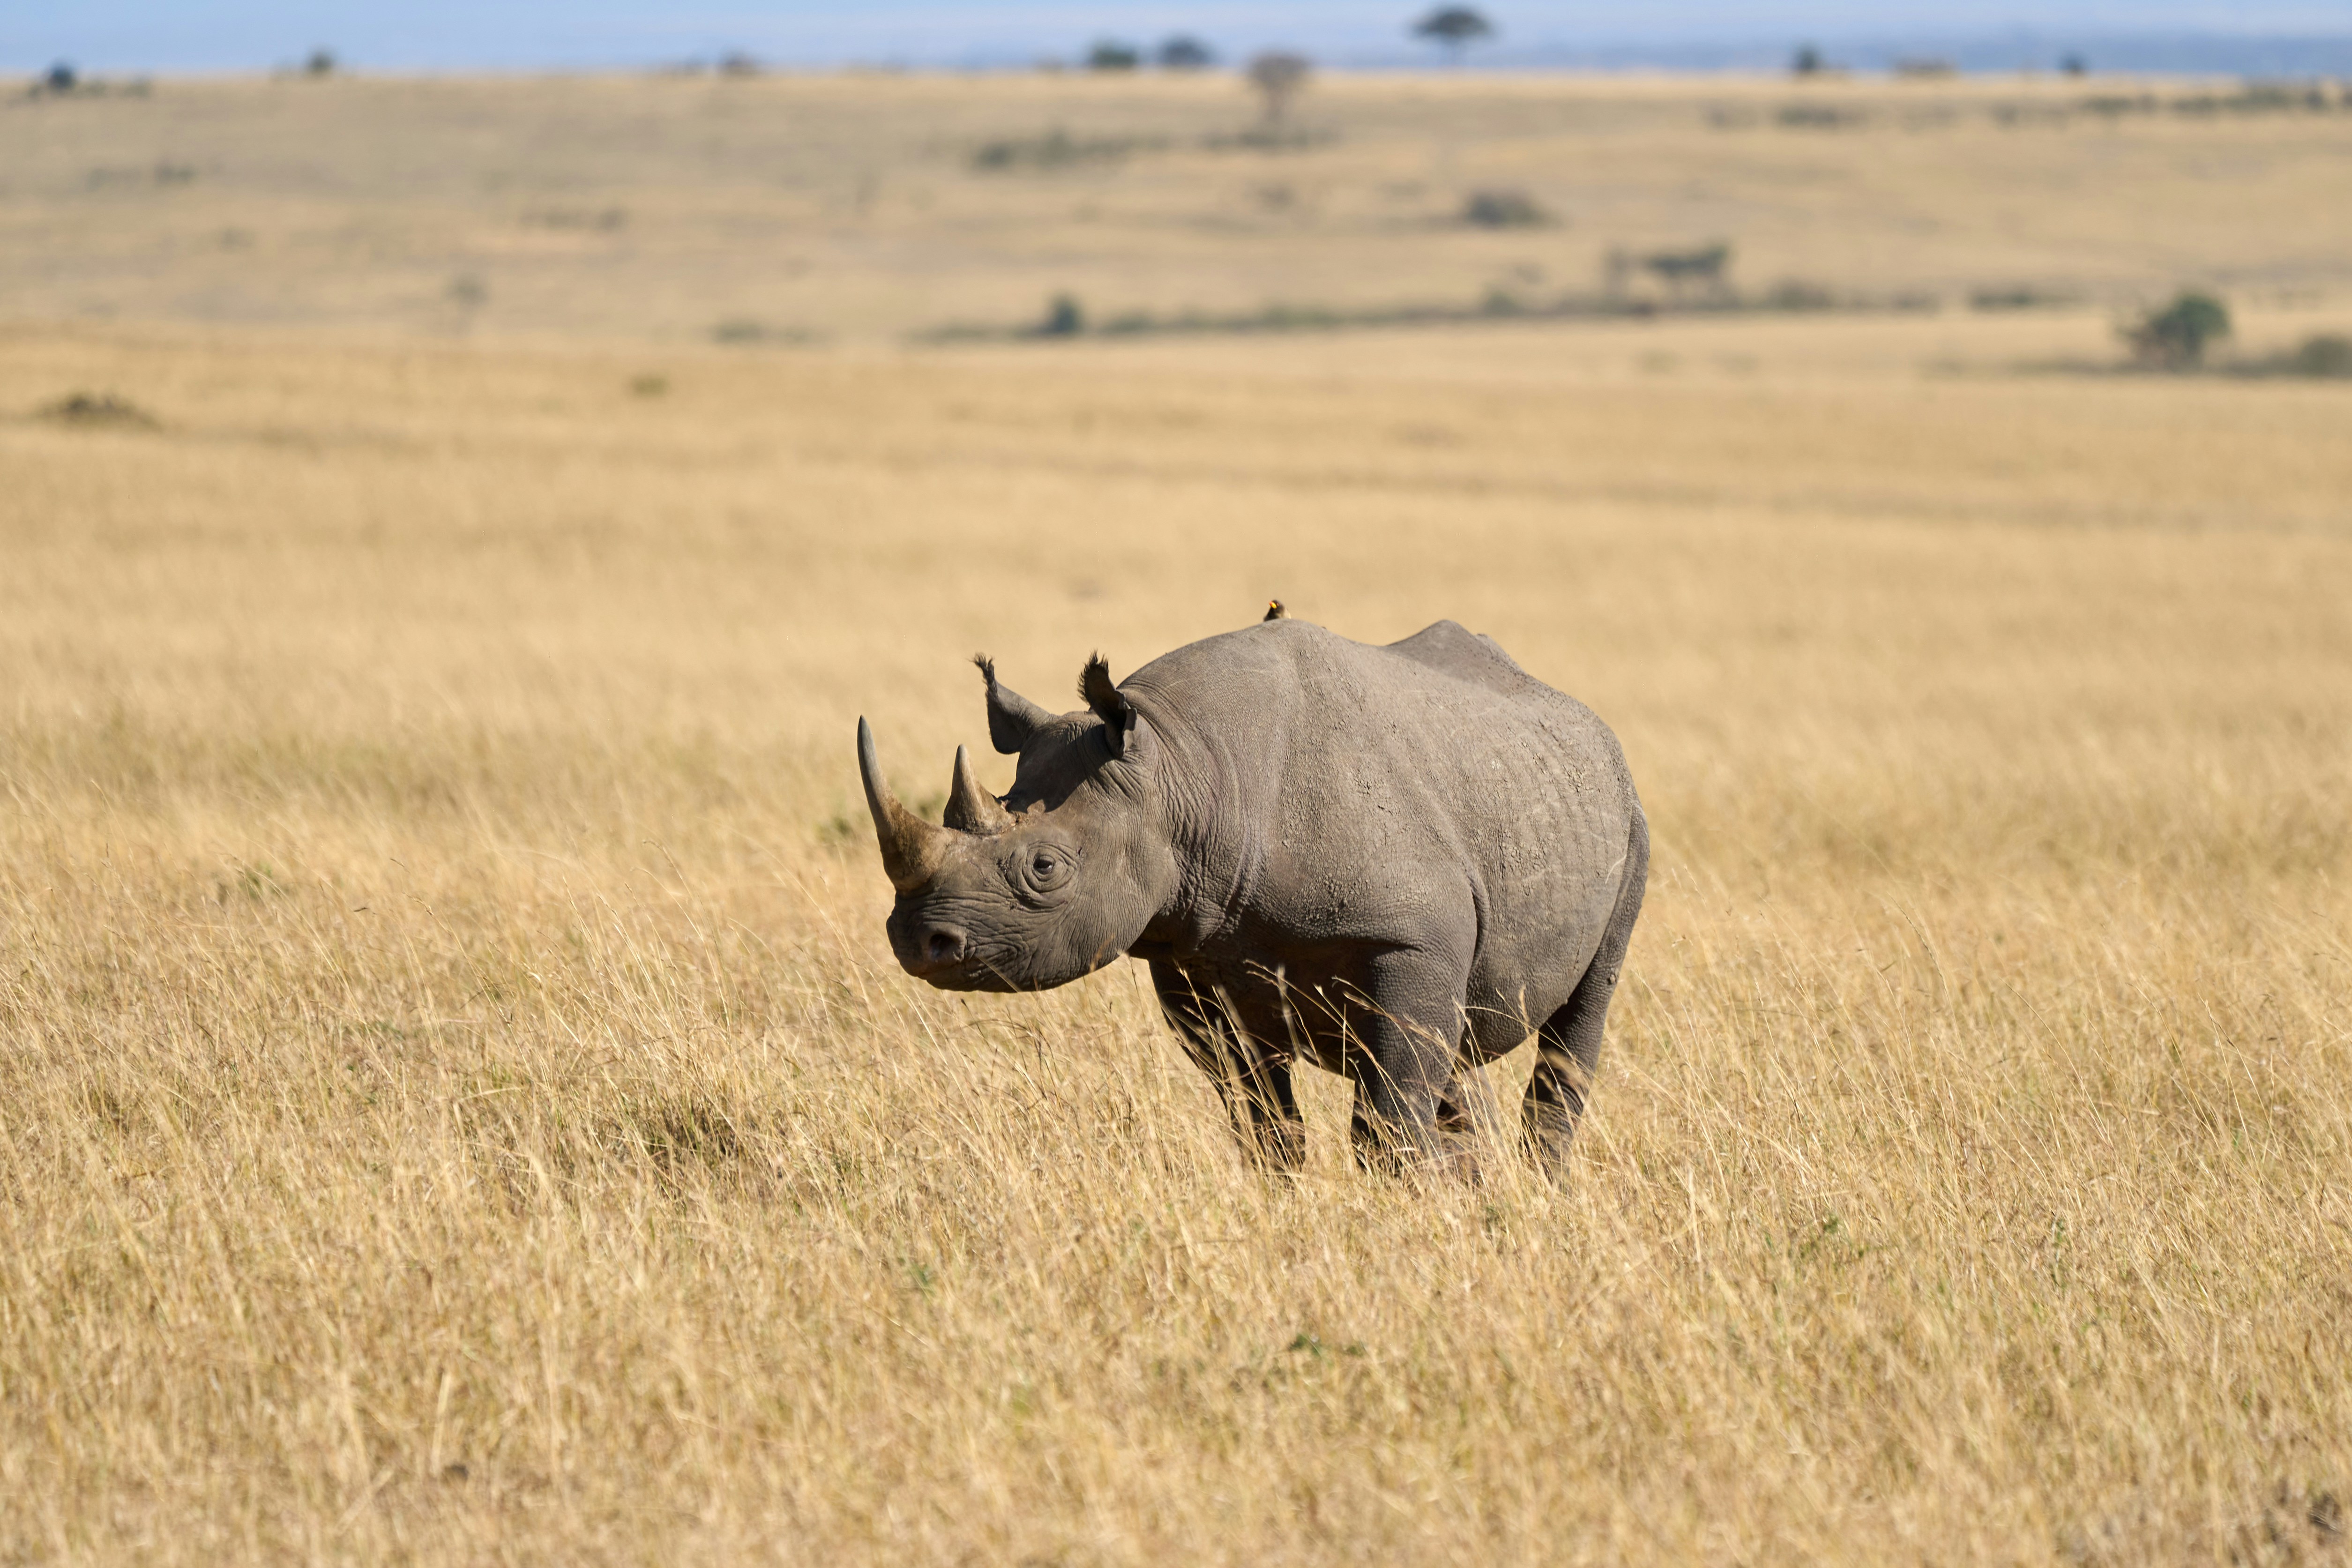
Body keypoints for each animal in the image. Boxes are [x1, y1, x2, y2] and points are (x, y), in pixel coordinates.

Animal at [855, 611, 1647, 1177]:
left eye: (1044, 868)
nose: (918, 941)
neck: (1180, 766)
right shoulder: (1191, 949)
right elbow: (1261, 1116)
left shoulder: (1410, 938)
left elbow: (1387, 1118)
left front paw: (1403, 1212)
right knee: (1454, 1056)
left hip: (1626, 814)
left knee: (1576, 1020)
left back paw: (1539, 1188)